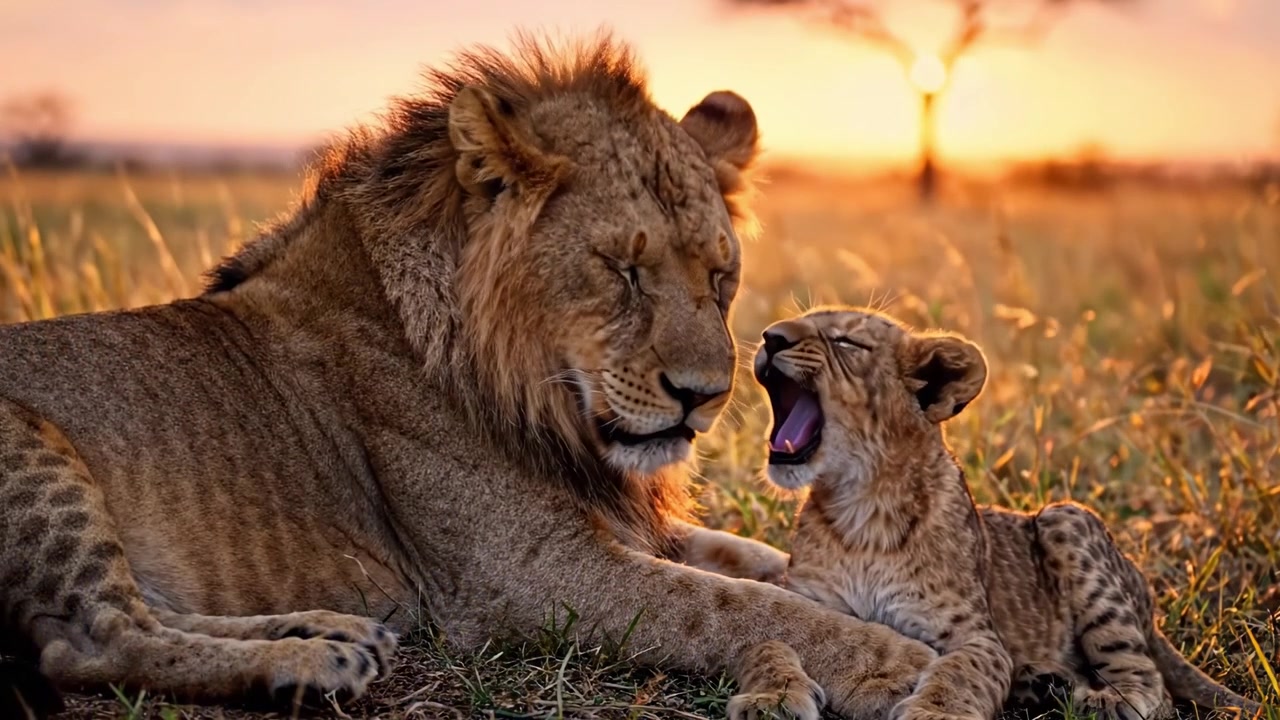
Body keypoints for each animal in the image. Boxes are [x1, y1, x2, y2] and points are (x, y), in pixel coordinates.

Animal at [0, 32, 935, 716]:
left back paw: (331, 633)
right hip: (33, 455)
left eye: (719, 275)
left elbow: (766, 565)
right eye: (622, 270)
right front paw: (898, 664)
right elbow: (737, 605)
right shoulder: (523, 576)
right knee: (90, 638)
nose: (704, 398)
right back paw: (309, 667)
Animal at [729, 306, 1260, 720]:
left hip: (1065, 518)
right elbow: (771, 642)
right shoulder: (812, 603)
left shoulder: (975, 636)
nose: (770, 336)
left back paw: (1103, 700)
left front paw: (933, 713)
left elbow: (958, 673)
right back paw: (1044, 685)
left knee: (1154, 685)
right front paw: (771, 699)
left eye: (845, 340)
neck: (860, 504)